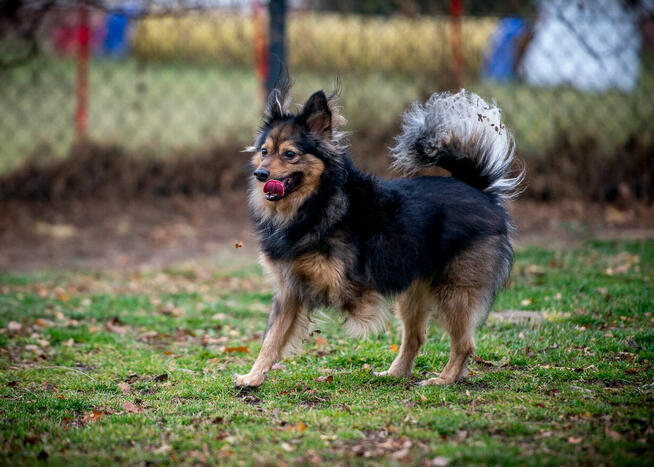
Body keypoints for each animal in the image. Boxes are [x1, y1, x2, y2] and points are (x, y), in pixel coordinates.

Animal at [238, 85, 524, 388]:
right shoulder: (288, 291)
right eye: (264, 151)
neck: (316, 202)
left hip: (453, 292)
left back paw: (443, 380)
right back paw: (395, 373)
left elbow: (335, 297)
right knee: (415, 337)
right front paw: (253, 377)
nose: (260, 174)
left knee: (464, 344)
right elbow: (271, 339)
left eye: (290, 154)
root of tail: (478, 190)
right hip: (412, 294)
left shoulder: (340, 283)